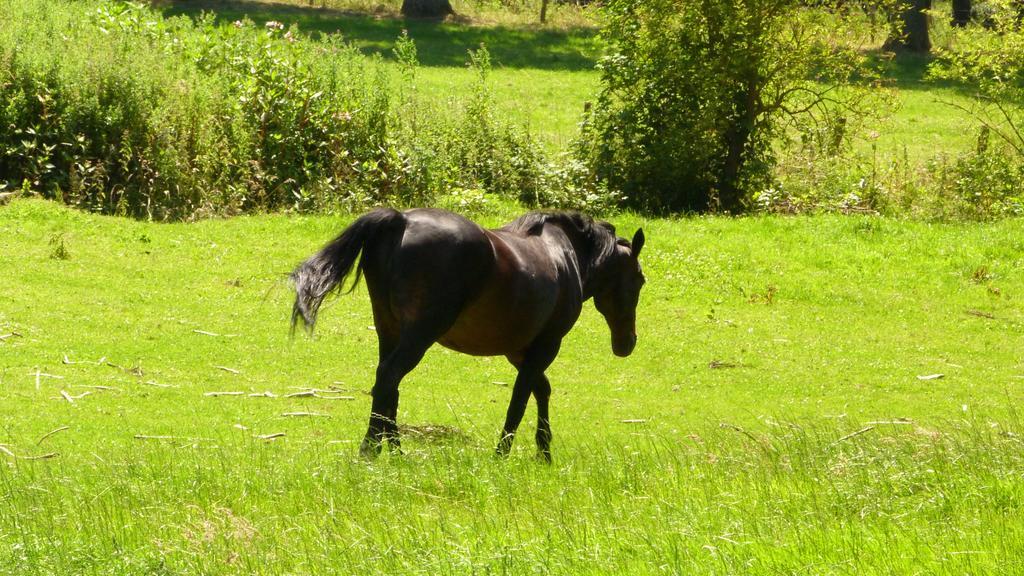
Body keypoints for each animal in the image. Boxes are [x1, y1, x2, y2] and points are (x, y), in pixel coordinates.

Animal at [292, 206, 647, 457]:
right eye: (640, 280)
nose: (627, 343)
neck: (564, 254)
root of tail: (400, 220)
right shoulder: (546, 345)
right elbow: (520, 398)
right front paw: (504, 454)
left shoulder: (519, 350)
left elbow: (540, 390)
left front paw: (543, 452)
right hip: (419, 335)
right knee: (389, 377)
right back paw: (372, 449)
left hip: (390, 330)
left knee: (387, 383)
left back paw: (394, 450)